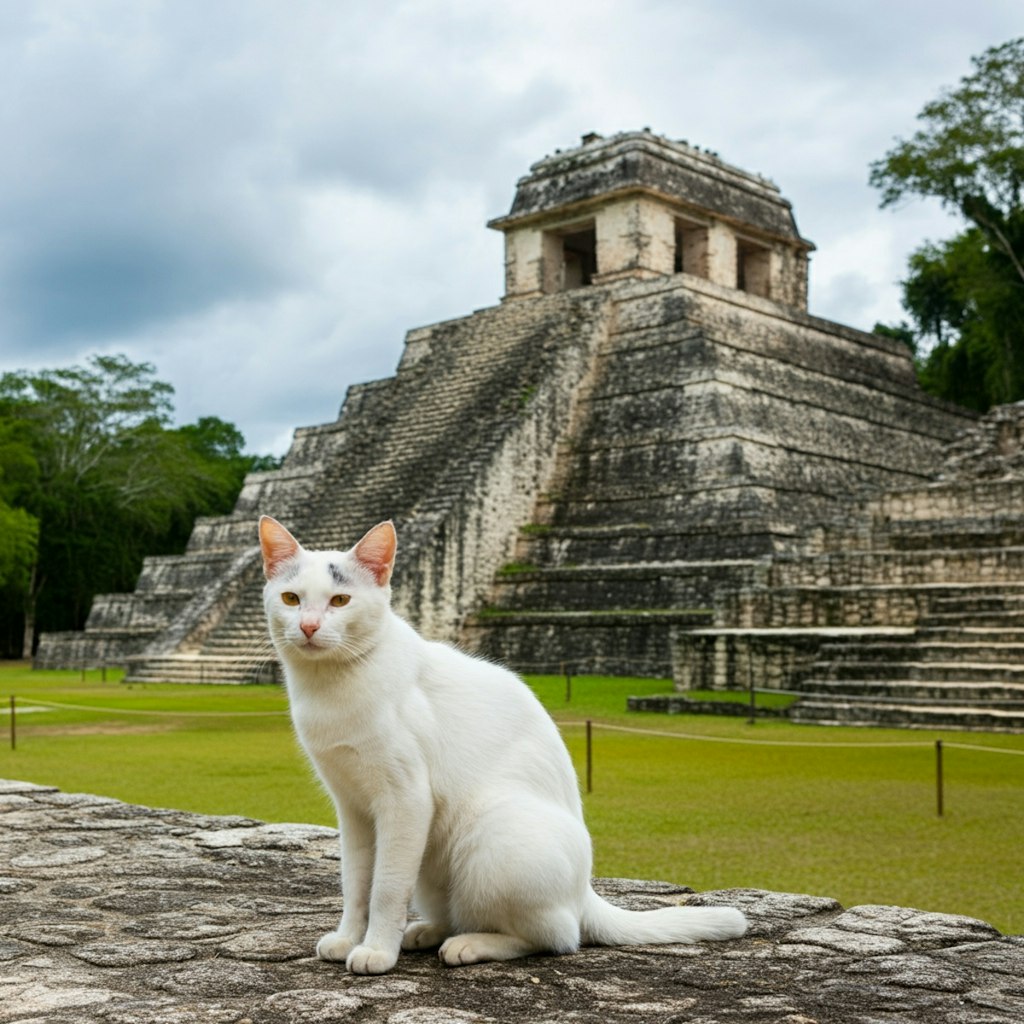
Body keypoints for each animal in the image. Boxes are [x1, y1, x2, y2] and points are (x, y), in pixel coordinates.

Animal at [260, 520, 749, 974]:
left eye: (340, 602)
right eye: (292, 599)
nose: (308, 626)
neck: (330, 690)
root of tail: (584, 893)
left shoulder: (406, 800)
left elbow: (386, 888)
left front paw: (377, 949)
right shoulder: (353, 807)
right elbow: (356, 882)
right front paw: (349, 938)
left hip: (495, 839)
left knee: (556, 936)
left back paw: (469, 945)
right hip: (436, 864)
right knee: (465, 913)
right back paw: (426, 931)